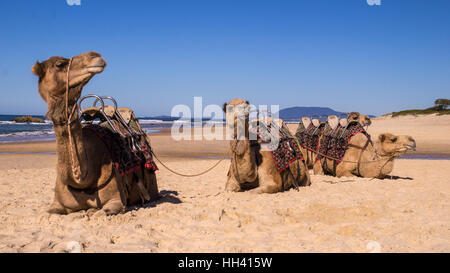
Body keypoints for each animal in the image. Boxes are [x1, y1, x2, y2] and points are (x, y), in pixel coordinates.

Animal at [32, 50, 158, 214]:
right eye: (60, 64)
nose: (95, 55)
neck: (83, 181)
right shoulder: (57, 204)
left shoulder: (116, 201)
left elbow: (102, 212)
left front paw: (91, 211)